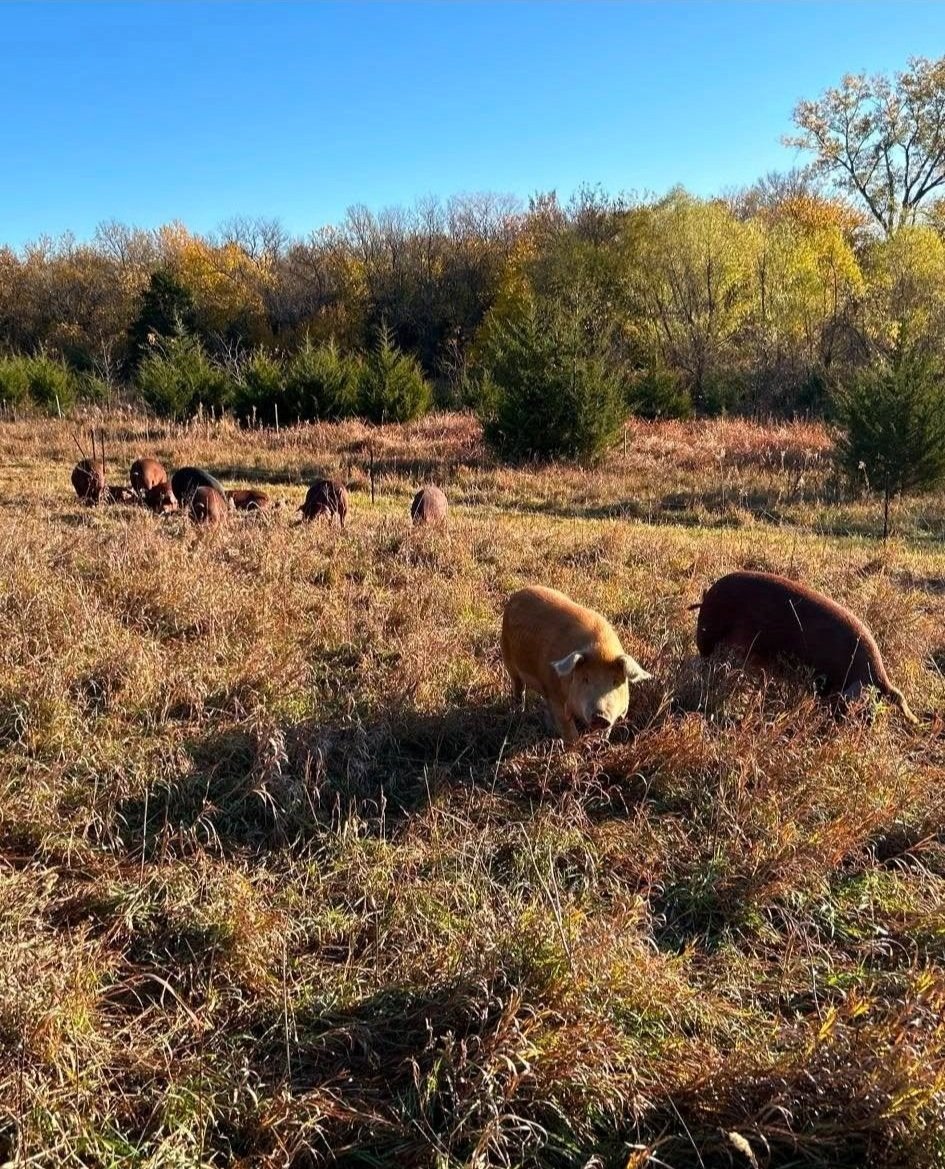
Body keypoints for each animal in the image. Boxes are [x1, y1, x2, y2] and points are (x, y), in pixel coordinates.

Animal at [501, 585, 652, 742]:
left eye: (616, 682)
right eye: (585, 679)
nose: (600, 716)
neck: (601, 649)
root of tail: (517, 594)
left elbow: (605, 731)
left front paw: (600, 743)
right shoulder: (556, 696)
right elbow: (569, 731)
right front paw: (575, 746)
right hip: (508, 660)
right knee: (519, 688)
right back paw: (518, 712)